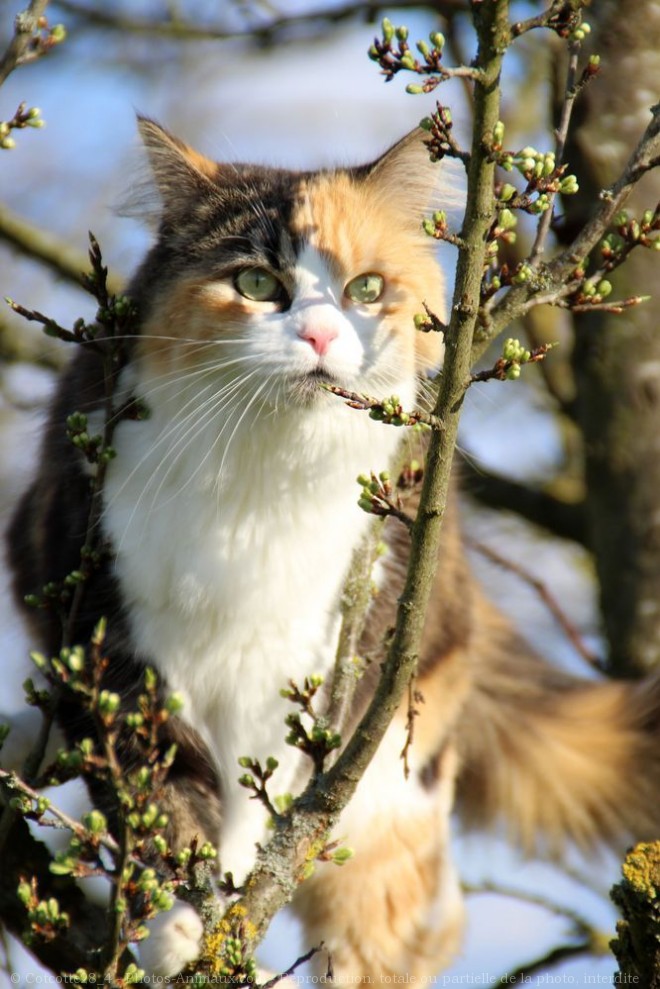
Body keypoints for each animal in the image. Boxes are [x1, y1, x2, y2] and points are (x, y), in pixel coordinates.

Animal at [7, 117, 660, 980]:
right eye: (256, 283)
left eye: (367, 291)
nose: (319, 334)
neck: (262, 484)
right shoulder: (105, 636)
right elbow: (162, 796)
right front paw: (186, 921)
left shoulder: (324, 662)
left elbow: (264, 807)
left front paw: (217, 919)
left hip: (395, 788)